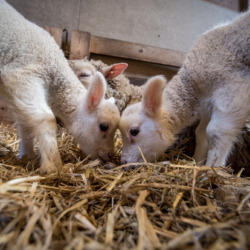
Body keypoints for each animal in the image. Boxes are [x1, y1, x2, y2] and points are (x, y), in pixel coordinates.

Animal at [0, 0, 120, 175]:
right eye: (104, 126)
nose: (109, 156)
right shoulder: (22, 76)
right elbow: (46, 118)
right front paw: (52, 165)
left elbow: (25, 123)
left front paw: (27, 156)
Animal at [119, 12, 250, 168]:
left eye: (134, 131)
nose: (124, 163)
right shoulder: (208, 104)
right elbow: (201, 133)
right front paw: (197, 162)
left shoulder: (234, 91)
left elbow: (216, 131)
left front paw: (211, 168)